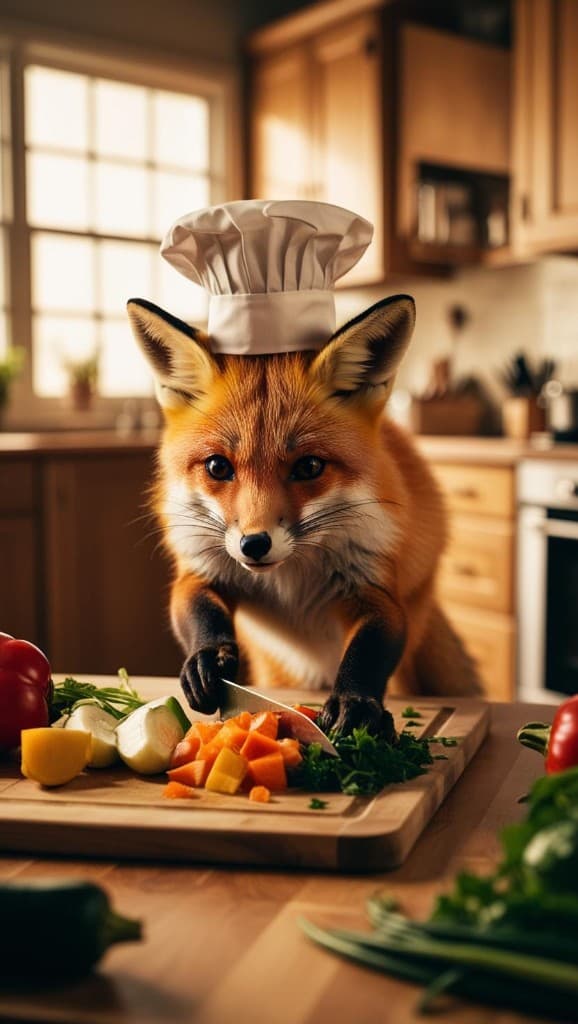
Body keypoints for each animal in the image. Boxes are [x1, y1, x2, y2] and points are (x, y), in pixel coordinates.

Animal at [127, 292, 481, 735]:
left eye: (309, 467)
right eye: (217, 467)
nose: (254, 544)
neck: (289, 583)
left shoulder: (373, 583)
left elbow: (371, 647)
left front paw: (353, 701)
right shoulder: (203, 567)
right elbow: (195, 611)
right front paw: (207, 659)